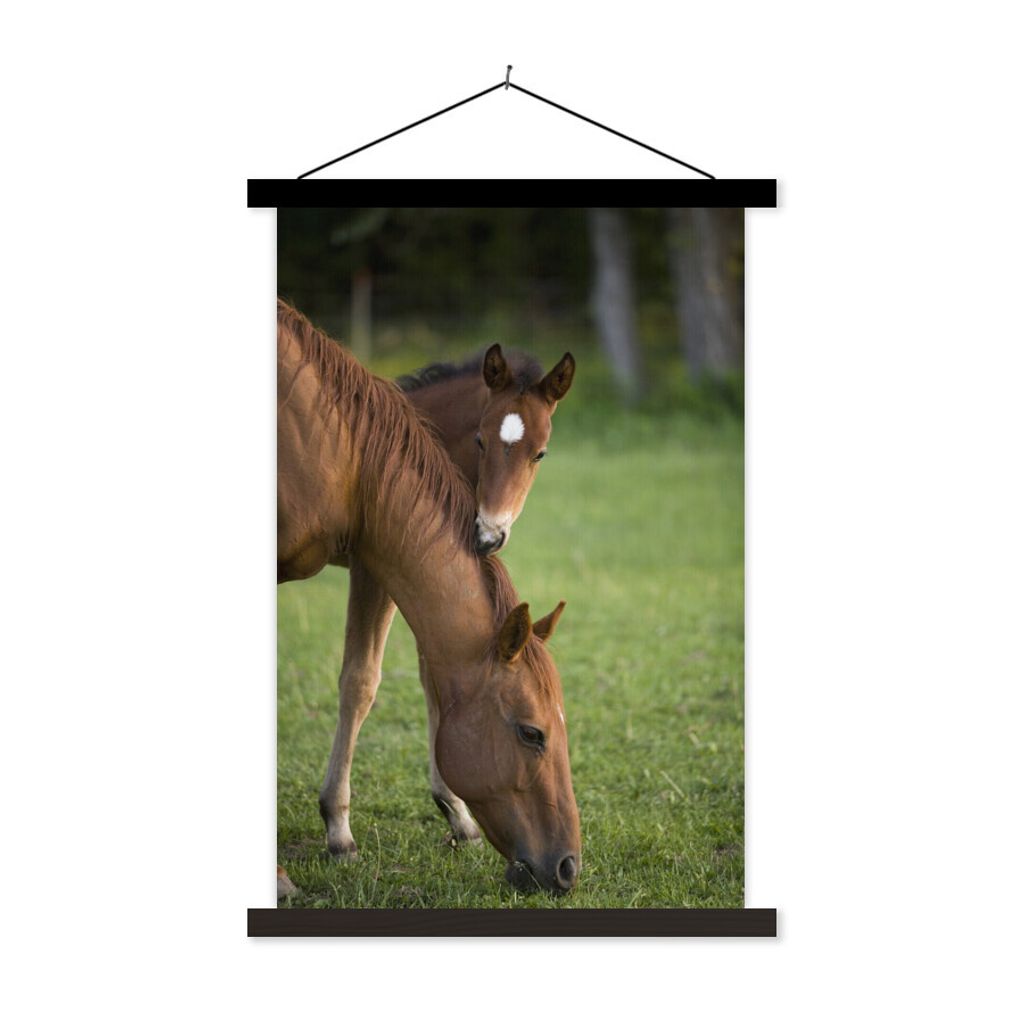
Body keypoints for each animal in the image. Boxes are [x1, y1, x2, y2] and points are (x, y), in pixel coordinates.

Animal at [277, 299, 581, 894]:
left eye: (540, 453)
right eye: (483, 439)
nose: (490, 532)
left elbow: (432, 678)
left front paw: (455, 812)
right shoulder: (374, 568)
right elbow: (361, 683)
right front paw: (339, 830)